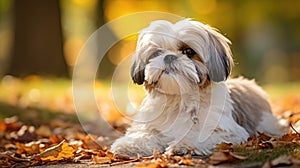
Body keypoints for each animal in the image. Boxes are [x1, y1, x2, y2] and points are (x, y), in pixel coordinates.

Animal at [110, 19, 284, 157]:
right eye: (157, 53)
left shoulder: (229, 132)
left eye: (188, 51)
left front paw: (184, 145)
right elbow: (144, 135)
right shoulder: (149, 125)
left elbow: (201, 136)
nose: (169, 57)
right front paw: (129, 145)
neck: (180, 100)